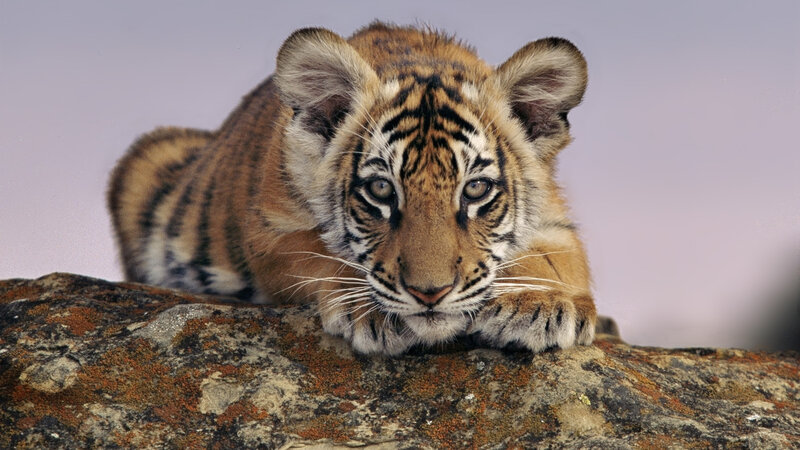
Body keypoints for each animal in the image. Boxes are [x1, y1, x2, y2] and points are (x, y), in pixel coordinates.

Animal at [108, 22, 597, 355]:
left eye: (475, 190)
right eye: (381, 190)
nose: (430, 294)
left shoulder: (555, 222)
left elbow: (554, 260)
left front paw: (538, 303)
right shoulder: (270, 231)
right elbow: (320, 253)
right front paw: (372, 309)